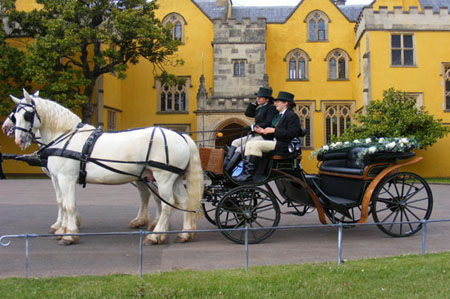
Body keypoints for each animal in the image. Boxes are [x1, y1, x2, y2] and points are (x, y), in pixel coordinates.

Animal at [9, 90, 203, 245]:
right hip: (174, 178)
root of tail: (181, 136)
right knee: (184, 201)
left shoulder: (66, 178)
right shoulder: (59, 178)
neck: (65, 137)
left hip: (163, 177)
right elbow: (62, 202)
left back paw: (156, 235)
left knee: (167, 204)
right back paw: (185, 234)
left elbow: (69, 205)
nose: (18, 139)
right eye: (14, 116)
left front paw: (69, 234)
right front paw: (62, 228)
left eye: (26, 115)